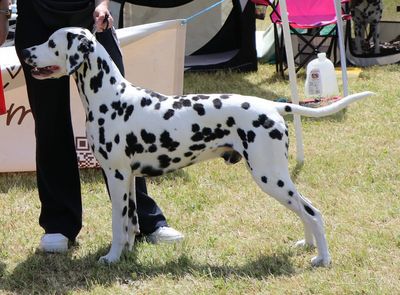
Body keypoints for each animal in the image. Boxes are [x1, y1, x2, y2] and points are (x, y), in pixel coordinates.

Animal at [21, 27, 372, 268]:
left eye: (51, 43)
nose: (25, 51)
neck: (110, 96)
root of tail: (272, 106)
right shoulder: (129, 178)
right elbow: (131, 222)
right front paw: (129, 255)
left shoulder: (116, 175)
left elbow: (118, 225)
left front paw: (112, 257)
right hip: (276, 178)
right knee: (306, 210)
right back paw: (308, 246)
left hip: (270, 176)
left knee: (313, 212)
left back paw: (323, 258)